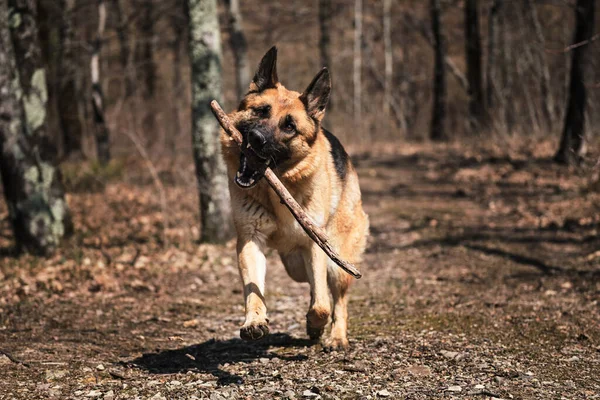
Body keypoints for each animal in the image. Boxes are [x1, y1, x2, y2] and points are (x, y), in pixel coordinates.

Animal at [220, 45, 368, 348]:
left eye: (289, 126)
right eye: (260, 111)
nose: (256, 138)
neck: (277, 188)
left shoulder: (315, 246)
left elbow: (322, 305)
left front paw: (315, 324)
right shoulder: (250, 240)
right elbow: (253, 290)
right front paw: (254, 321)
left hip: (338, 262)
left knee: (337, 299)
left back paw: (336, 336)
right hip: (295, 265)